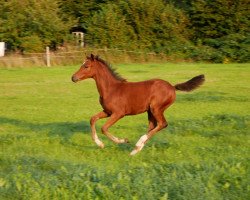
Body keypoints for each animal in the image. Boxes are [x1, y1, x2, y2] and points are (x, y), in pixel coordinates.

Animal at [71, 54, 204, 155]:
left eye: (86, 66)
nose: (73, 77)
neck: (111, 89)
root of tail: (172, 86)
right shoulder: (107, 112)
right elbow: (93, 119)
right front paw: (100, 144)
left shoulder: (118, 113)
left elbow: (104, 128)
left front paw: (123, 140)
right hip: (150, 111)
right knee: (152, 126)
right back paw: (136, 150)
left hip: (156, 108)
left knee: (162, 124)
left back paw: (138, 144)